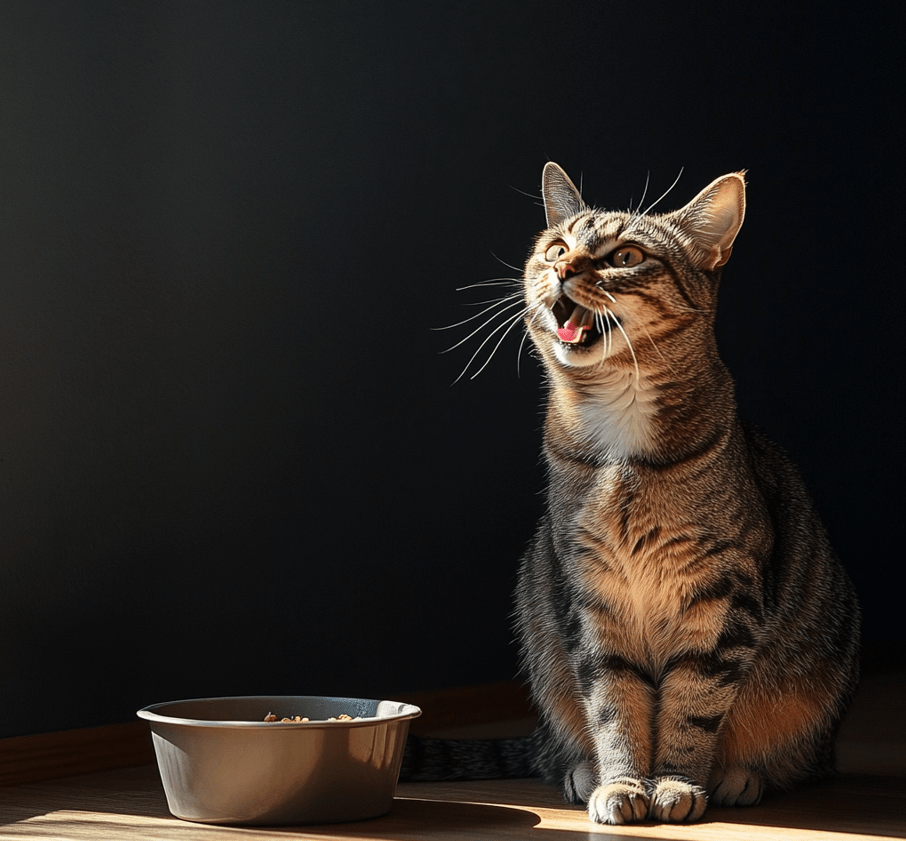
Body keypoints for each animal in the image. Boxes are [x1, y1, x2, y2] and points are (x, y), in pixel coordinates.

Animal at [404, 161, 860, 824]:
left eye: (624, 256)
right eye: (557, 248)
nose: (565, 270)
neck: (619, 436)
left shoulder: (722, 593)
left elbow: (693, 702)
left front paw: (675, 782)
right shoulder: (588, 595)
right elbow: (613, 704)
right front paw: (619, 783)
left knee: (798, 758)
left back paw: (743, 775)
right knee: (557, 748)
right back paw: (579, 769)